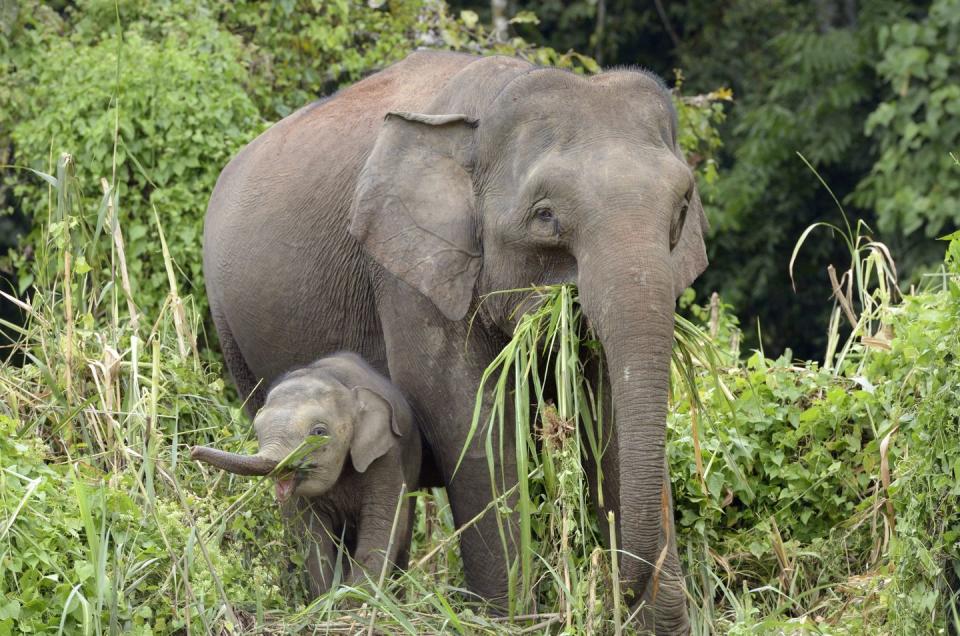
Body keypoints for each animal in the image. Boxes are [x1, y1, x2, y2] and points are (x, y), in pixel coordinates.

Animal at [191, 352, 420, 596]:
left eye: (319, 432)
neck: (340, 382)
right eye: (257, 428)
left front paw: (351, 600)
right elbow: (312, 536)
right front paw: (325, 598)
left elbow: (380, 528)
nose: (193, 450)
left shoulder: (386, 458)